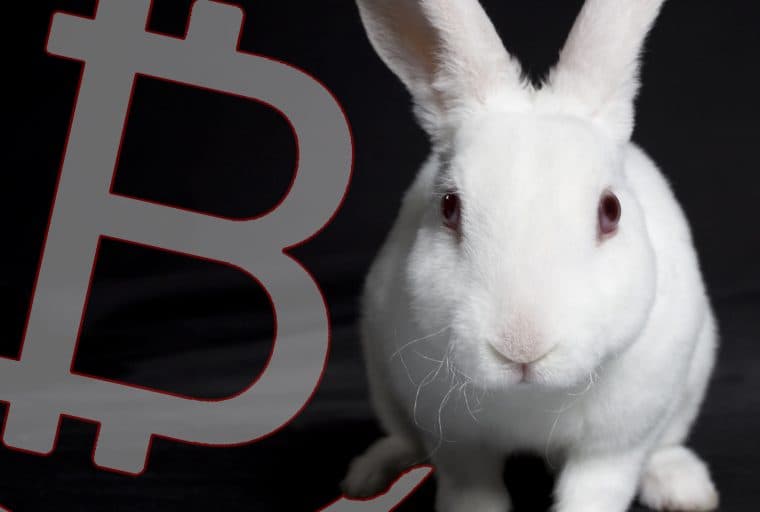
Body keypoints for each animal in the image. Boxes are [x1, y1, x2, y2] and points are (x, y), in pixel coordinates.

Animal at [343, 0, 719, 511]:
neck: (531, 399)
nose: (521, 346)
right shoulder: (457, 445)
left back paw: (684, 488)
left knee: (666, 446)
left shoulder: (615, 445)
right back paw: (368, 476)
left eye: (611, 210)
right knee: (400, 438)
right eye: (449, 207)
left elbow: (595, 489)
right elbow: (471, 491)